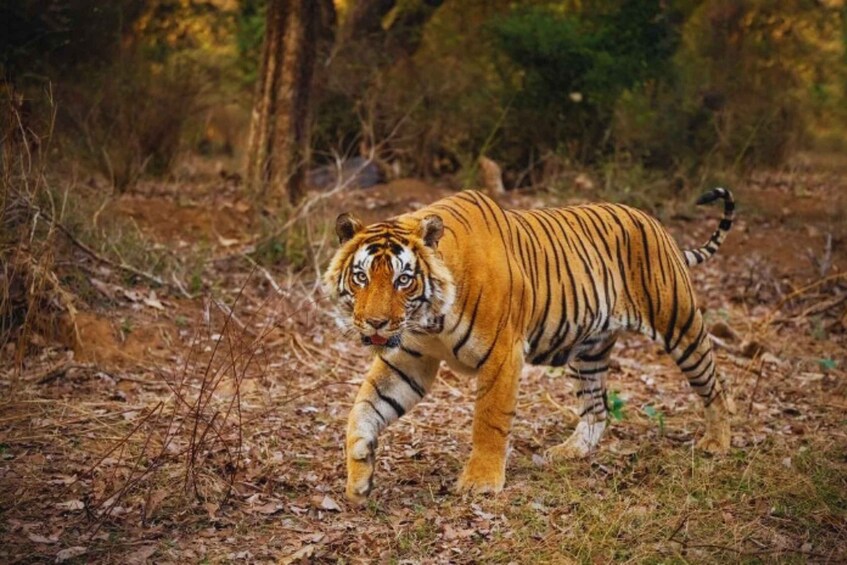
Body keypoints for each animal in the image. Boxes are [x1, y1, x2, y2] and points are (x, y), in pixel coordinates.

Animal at [323, 188, 736, 503]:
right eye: (361, 277)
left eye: (403, 280)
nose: (375, 323)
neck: (430, 320)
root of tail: (655, 223)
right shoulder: (409, 359)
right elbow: (364, 408)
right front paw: (359, 473)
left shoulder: (502, 355)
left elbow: (489, 420)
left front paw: (480, 482)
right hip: (589, 351)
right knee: (597, 408)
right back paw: (570, 452)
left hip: (678, 322)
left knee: (714, 384)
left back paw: (717, 443)